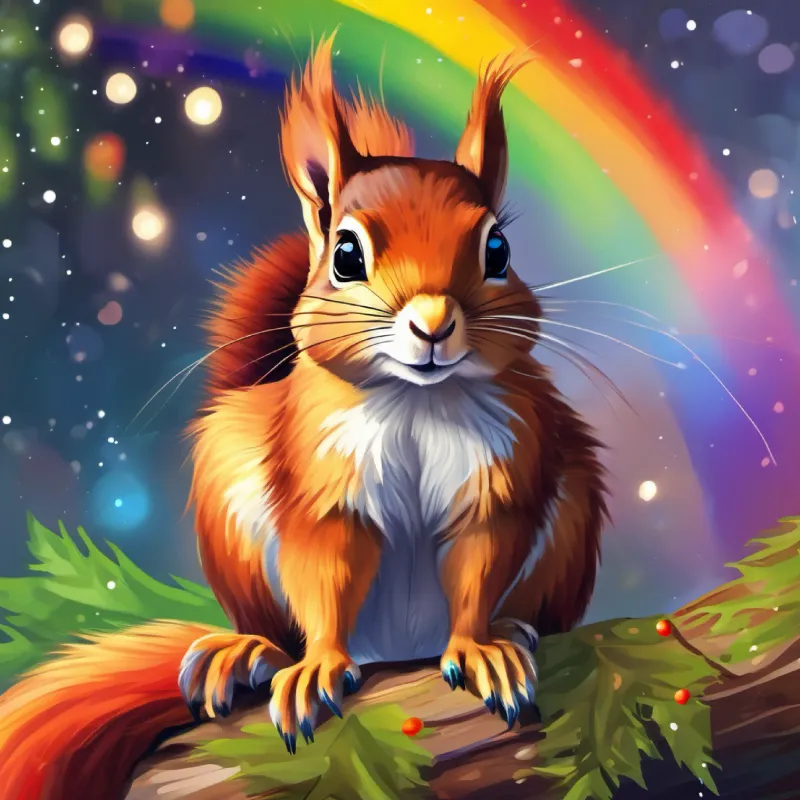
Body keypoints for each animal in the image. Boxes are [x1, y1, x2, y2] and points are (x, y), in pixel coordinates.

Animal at [0, 37, 608, 800]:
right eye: (345, 255)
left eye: (497, 251)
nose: (434, 323)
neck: (414, 400)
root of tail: (395, 653)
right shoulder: (321, 489)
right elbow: (324, 576)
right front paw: (318, 662)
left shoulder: (500, 479)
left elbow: (478, 565)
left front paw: (479, 645)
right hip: (231, 517)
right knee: (272, 621)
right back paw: (247, 651)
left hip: (573, 517)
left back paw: (516, 629)